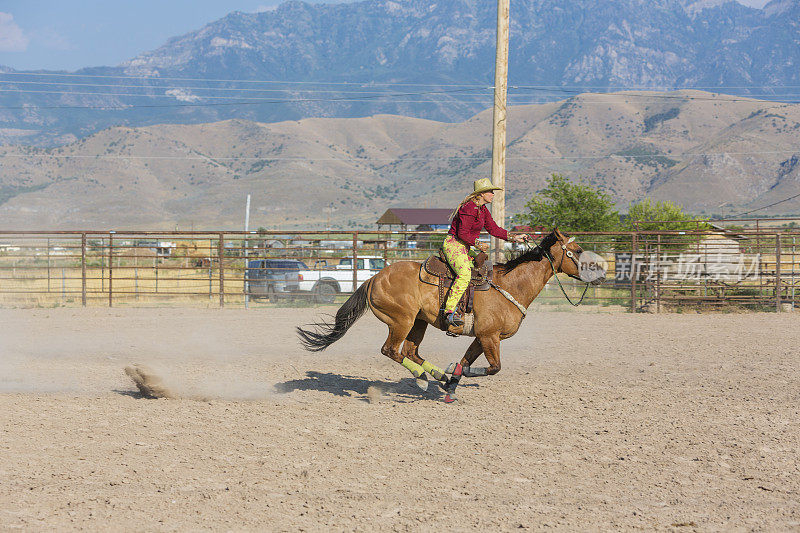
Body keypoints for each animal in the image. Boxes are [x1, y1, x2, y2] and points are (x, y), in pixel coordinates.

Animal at [296, 228, 600, 400]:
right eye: (577, 250)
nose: (599, 274)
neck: (511, 284)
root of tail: (374, 278)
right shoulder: (490, 337)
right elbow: (493, 367)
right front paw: (454, 375)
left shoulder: (481, 337)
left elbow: (468, 362)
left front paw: (452, 381)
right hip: (401, 320)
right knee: (391, 350)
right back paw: (421, 379)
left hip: (418, 323)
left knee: (410, 352)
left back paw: (436, 377)